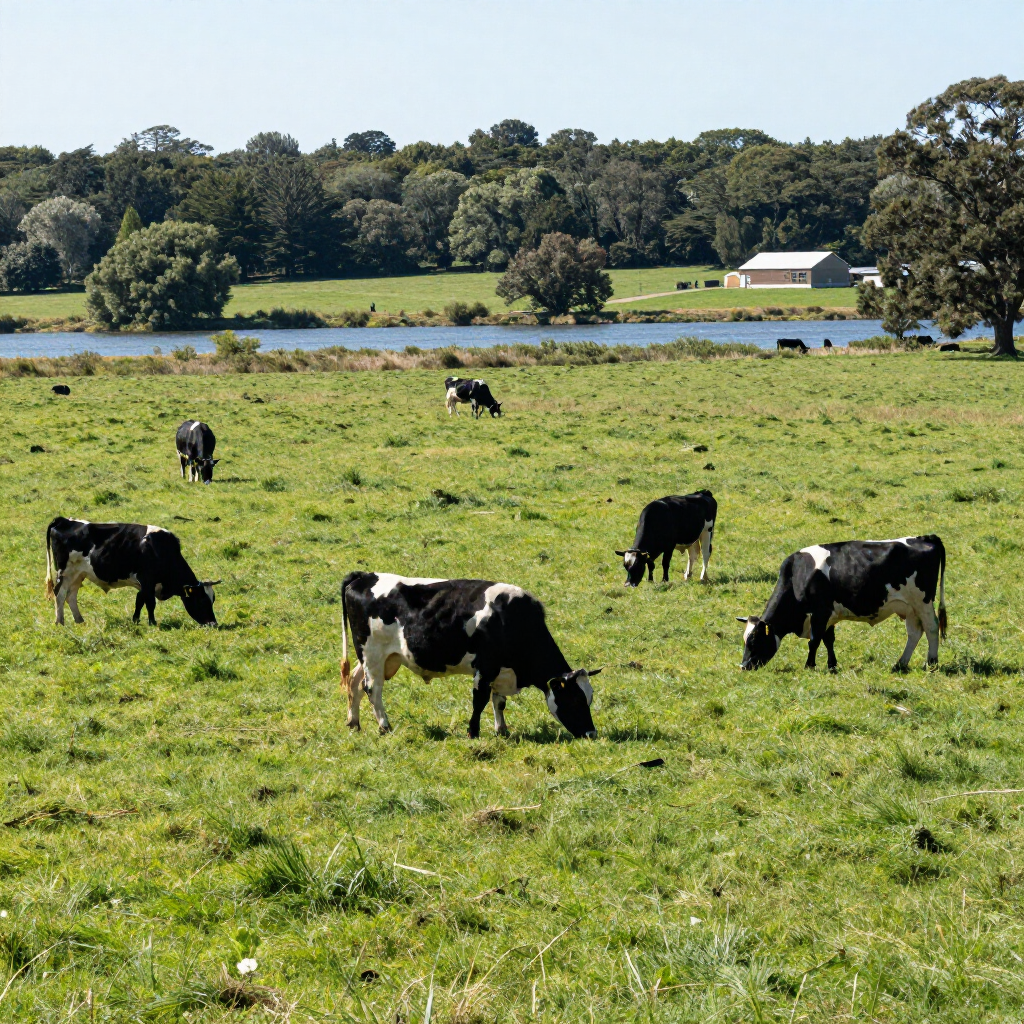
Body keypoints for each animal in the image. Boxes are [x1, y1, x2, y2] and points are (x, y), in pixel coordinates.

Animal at [45, 517, 219, 627]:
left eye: (213, 600)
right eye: (202, 600)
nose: (214, 624)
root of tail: (63, 520)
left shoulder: (145, 584)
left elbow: (139, 601)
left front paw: (136, 620)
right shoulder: (147, 580)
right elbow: (150, 603)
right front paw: (152, 623)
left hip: (78, 575)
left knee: (71, 596)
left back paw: (79, 620)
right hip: (64, 572)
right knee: (59, 595)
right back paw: (59, 622)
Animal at [340, 572, 598, 739]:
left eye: (589, 698)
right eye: (575, 699)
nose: (591, 733)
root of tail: (364, 576)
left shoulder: (501, 671)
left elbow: (499, 701)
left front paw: (502, 730)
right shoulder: (485, 667)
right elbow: (480, 700)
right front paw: (473, 732)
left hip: (375, 657)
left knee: (354, 682)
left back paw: (354, 723)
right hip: (373, 653)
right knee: (372, 689)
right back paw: (385, 727)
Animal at [737, 535, 946, 673]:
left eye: (754, 640)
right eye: (744, 640)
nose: (743, 666)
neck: (798, 575)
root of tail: (925, 537)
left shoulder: (820, 613)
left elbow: (814, 641)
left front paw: (809, 666)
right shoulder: (829, 615)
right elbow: (828, 640)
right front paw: (832, 665)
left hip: (923, 602)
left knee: (931, 628)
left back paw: (931, 662)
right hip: (910, 607)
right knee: (914, 633)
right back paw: (900, 664)